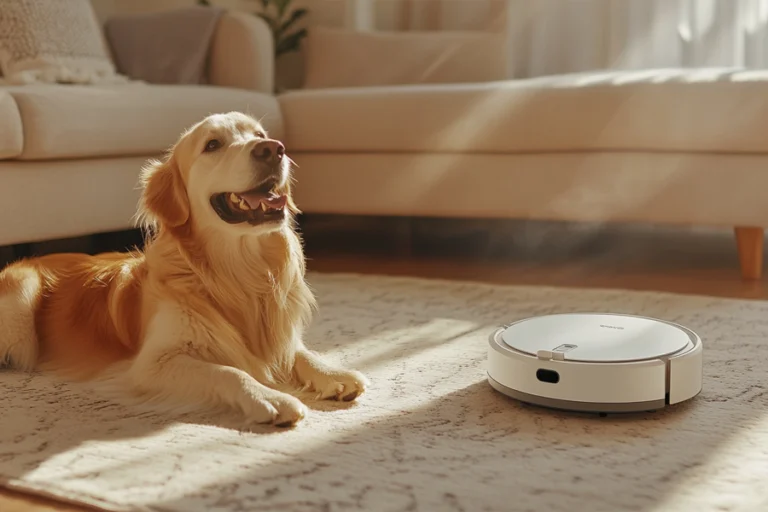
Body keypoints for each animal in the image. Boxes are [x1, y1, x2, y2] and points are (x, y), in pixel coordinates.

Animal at [0, 111, 368, 428]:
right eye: (212, 145)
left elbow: (299, 352)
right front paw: (271, 398)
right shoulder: (150, 366)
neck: (239, 273)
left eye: (260, 135)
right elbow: (227, 371)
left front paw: (332, 373)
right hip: (20, 310)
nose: (273, 149)